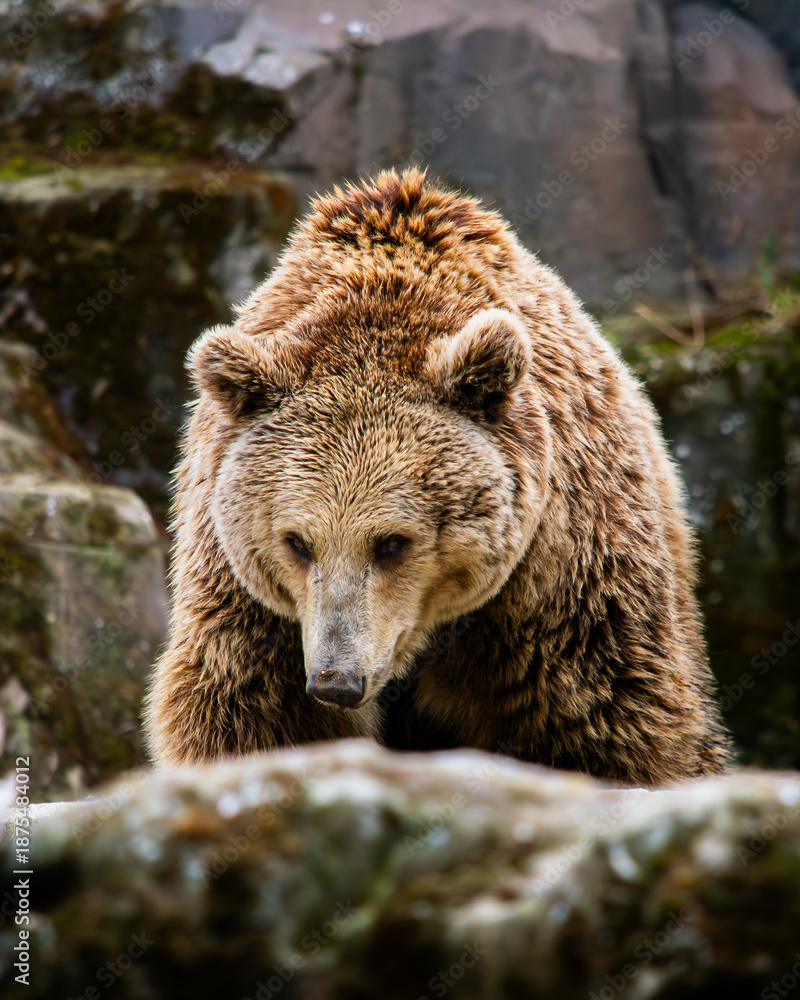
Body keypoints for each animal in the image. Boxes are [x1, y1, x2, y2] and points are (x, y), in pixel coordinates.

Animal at [144, 168, 731, 786]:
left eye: (392, 542)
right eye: (298, 542)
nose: (337, 680)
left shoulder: (559, 581)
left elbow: (606, 717)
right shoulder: (246, 598)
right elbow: (251, 714)